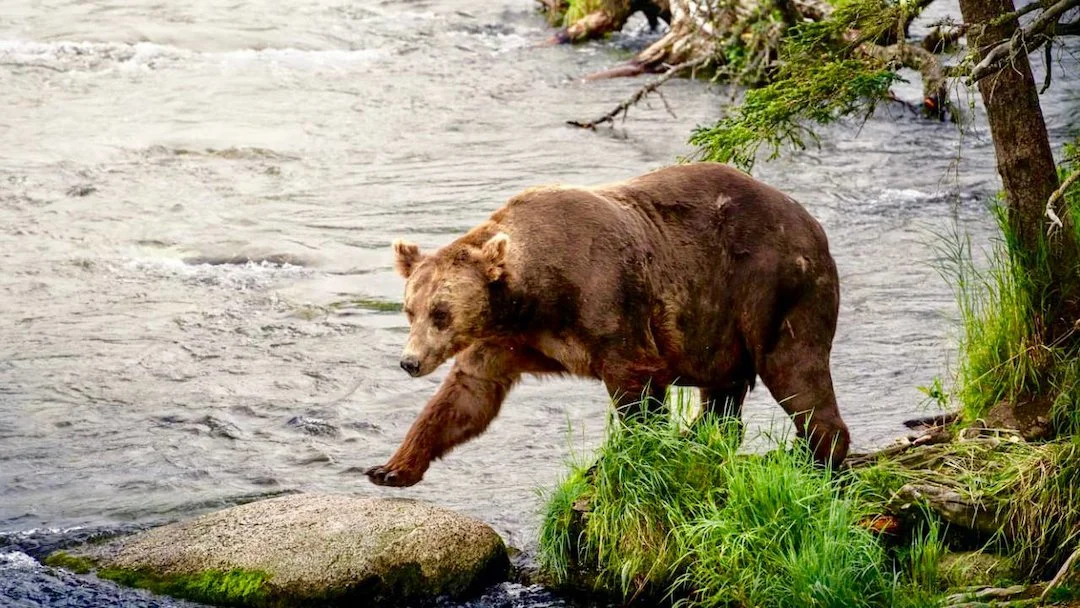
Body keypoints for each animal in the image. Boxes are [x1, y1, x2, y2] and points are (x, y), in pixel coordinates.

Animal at [365, 162, 850, 487]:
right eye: (410, 309)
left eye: (440, 313)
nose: (410, 361)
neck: (536, 296)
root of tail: (814, 224)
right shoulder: (505, 340)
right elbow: (465, 397)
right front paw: (391, 467)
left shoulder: (612, 304)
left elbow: (636, 388)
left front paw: (623, 460)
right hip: (720, 323)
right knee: (723, 394)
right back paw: (703, 438)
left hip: (773, 286)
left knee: (794, 370)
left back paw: (816, 459)